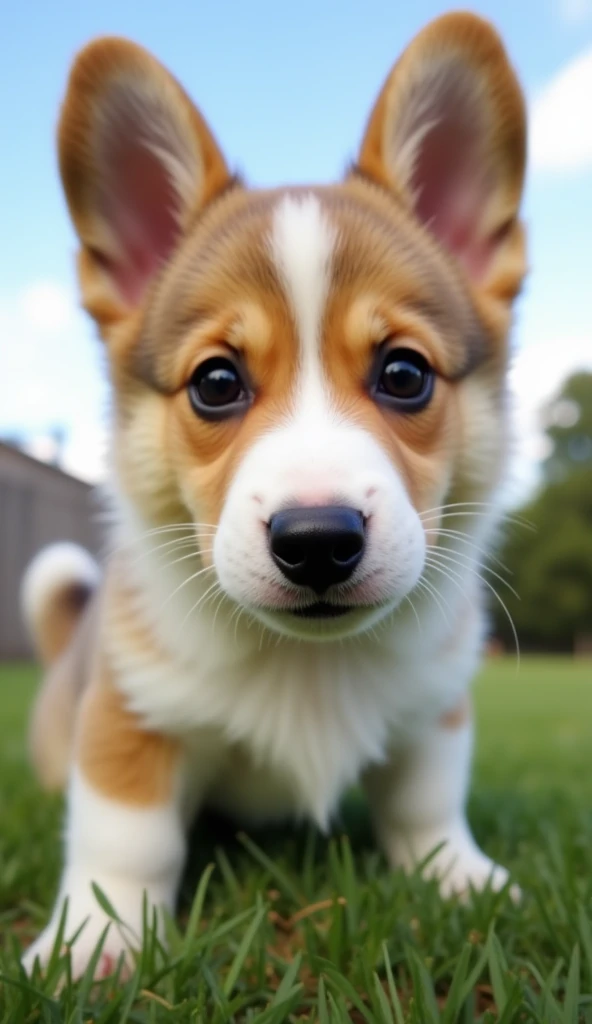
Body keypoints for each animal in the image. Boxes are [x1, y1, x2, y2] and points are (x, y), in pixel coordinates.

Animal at [20, 14, 522, 974]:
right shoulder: (126, 712)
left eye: (405, 374)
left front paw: (462, 879)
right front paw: (95, 939)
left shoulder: (435, 702)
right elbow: (126, 837)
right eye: (216, 383)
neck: (308, 664)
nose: (318, 539)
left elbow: (427, 802)